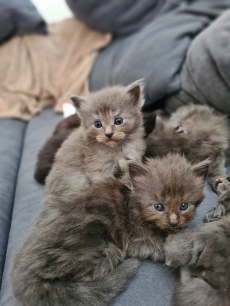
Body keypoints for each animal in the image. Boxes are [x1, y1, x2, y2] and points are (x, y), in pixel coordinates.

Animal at [10, 155, 208, 306]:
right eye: (158, 207)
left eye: (184, 206)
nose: (173, 221)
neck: (133, 203)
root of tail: (24, 277)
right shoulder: (140, 241)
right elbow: (163, 249)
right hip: (104, 248)